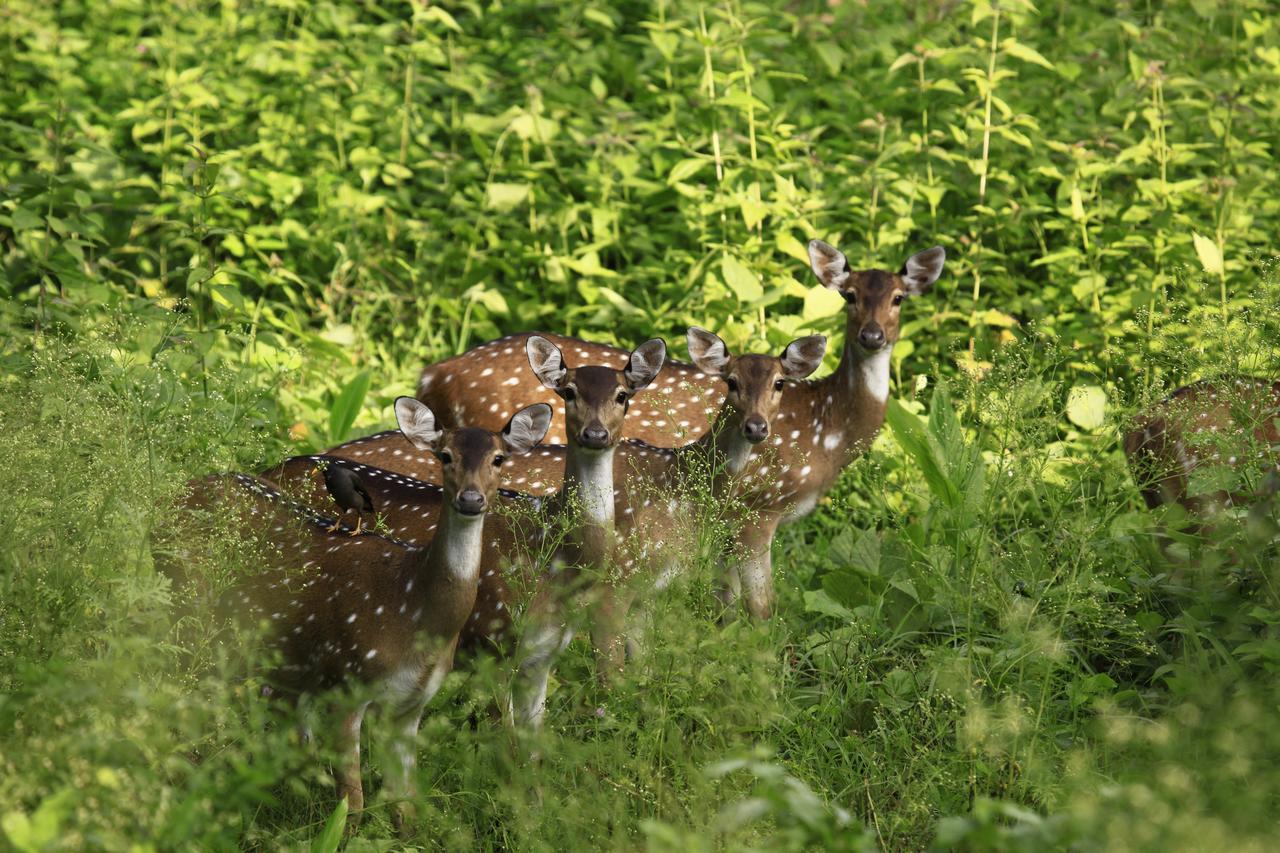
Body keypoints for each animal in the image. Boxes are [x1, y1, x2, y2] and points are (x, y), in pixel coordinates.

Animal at [197, 399, 547, 829]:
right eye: (444, 455)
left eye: (499, 458)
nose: (470, 499)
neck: (409, 602)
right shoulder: (344, 684)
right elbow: (353, 804)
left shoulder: (411, 703)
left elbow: (405, 805)